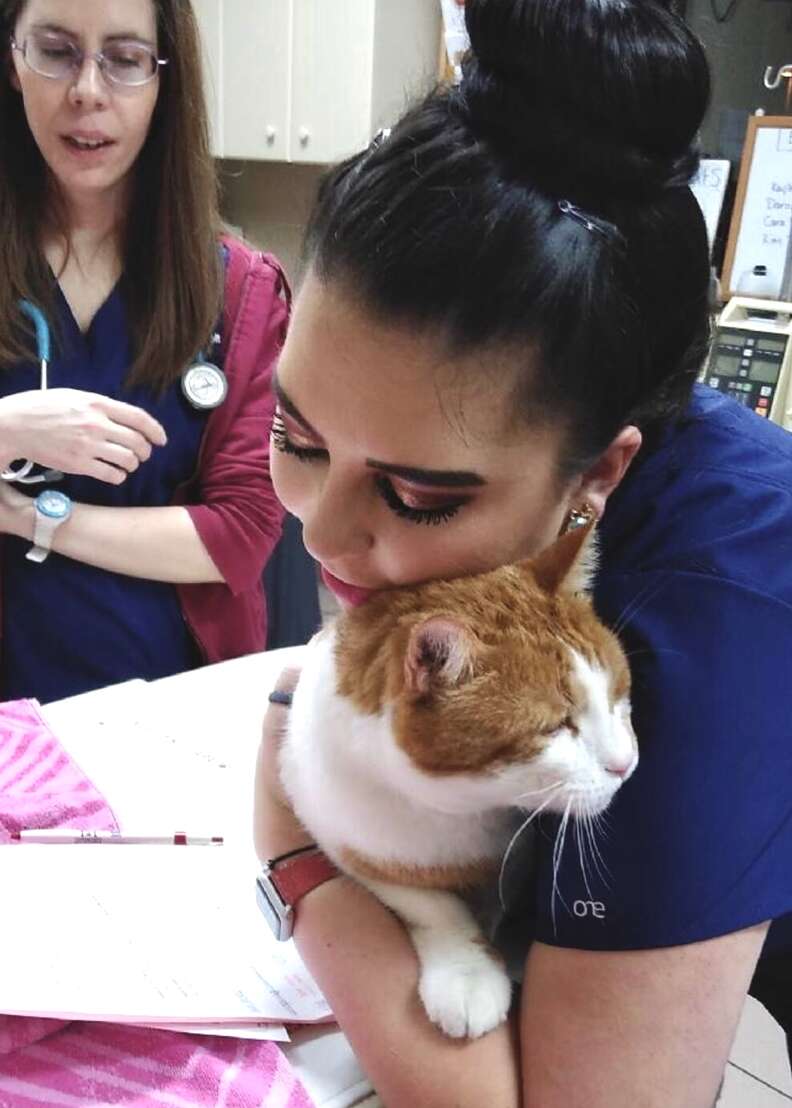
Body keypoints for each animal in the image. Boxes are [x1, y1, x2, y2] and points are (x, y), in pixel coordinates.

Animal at [279, 522, 638, 1032]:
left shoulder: (513, 858)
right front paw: (467, 973)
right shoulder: (347, 836)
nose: (625, 764)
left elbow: (493, 900)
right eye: (554, 728)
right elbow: (430, 905)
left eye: (616, 696)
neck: (462, 811)